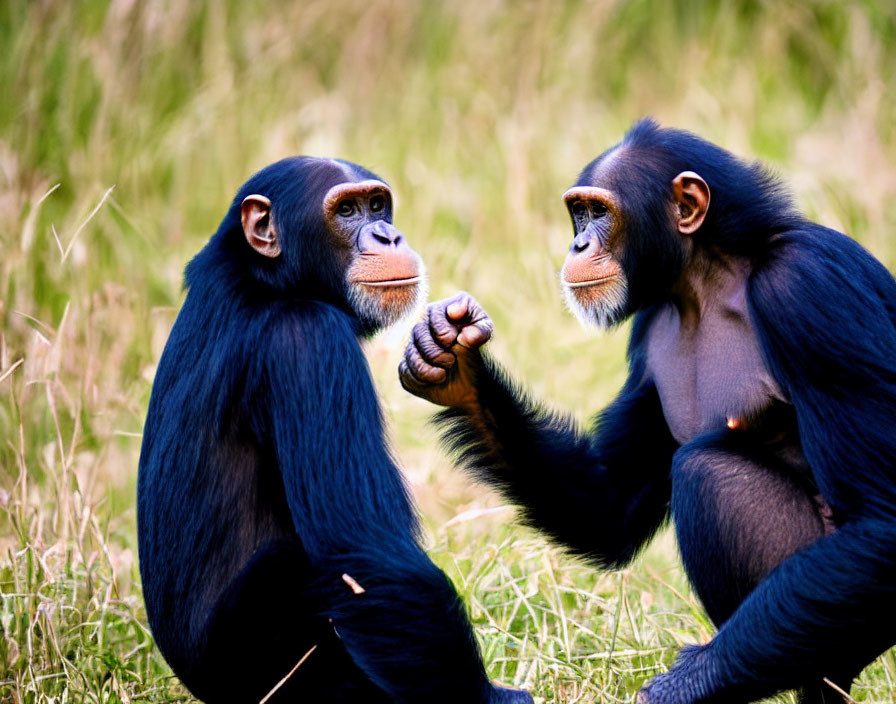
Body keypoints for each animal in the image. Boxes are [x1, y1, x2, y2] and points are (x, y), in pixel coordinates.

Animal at [136, 158, 536, 704]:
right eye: (346, 211)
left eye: (377, 205)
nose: (388, 235)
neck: (268, 284)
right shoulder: (308, 340)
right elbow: (362, 548)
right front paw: (490, 698)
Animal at [400, 121, 896, 704]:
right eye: (579, 212)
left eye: (600, 212)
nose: (578, 242)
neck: (708, 278)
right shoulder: (648, 331)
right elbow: (610, 506)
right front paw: (453, 364)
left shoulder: (809, 289)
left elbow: (882, 516)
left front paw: (679, 687)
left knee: (710, 472)